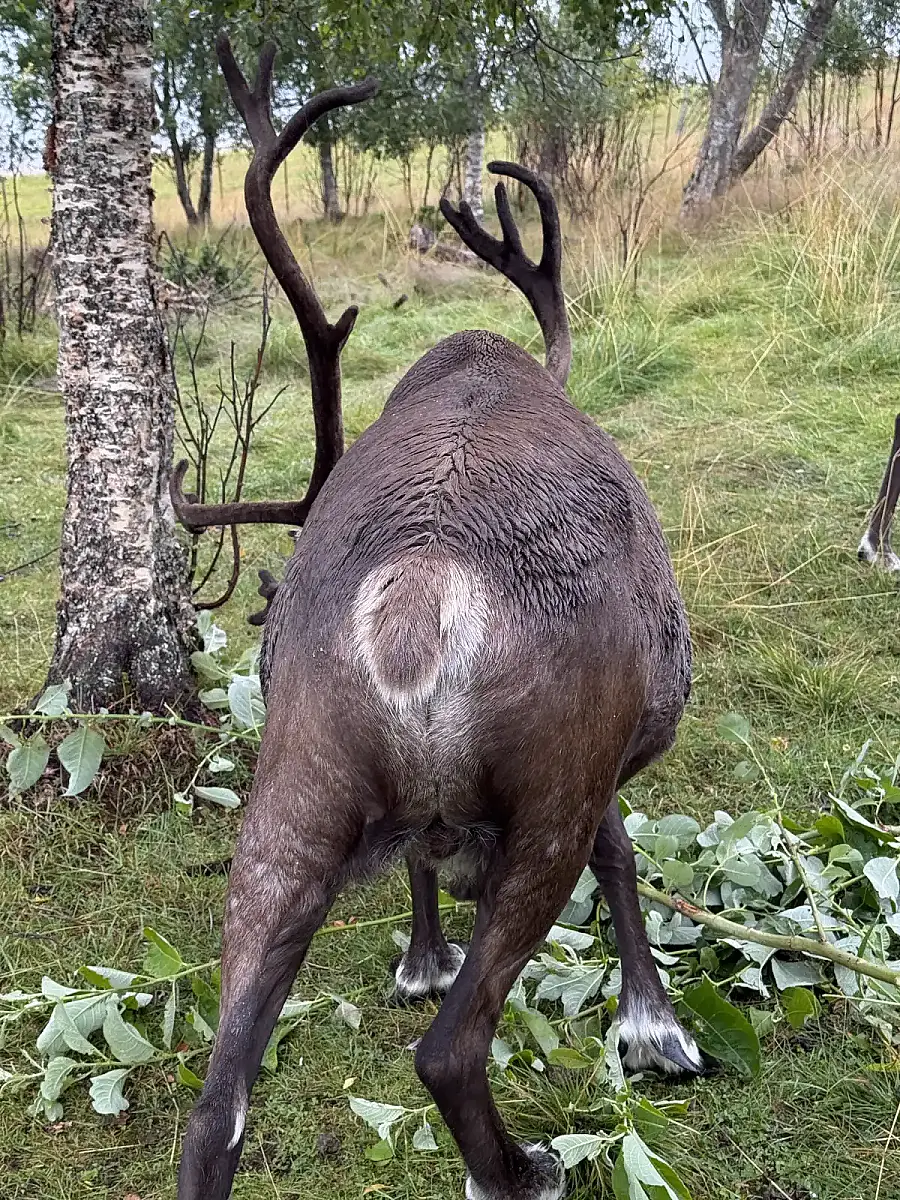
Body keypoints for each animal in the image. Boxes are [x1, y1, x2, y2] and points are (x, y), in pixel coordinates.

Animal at [172, 35, 703, 1200]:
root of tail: (414, 602)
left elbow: (421, 858)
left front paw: (420, 959)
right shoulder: (604, 759)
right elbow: (624, 857)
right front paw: (653, 1026)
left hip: (295, 789)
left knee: (212, 1112)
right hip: (551, 786)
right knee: (452, 1050)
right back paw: (523, 1168)